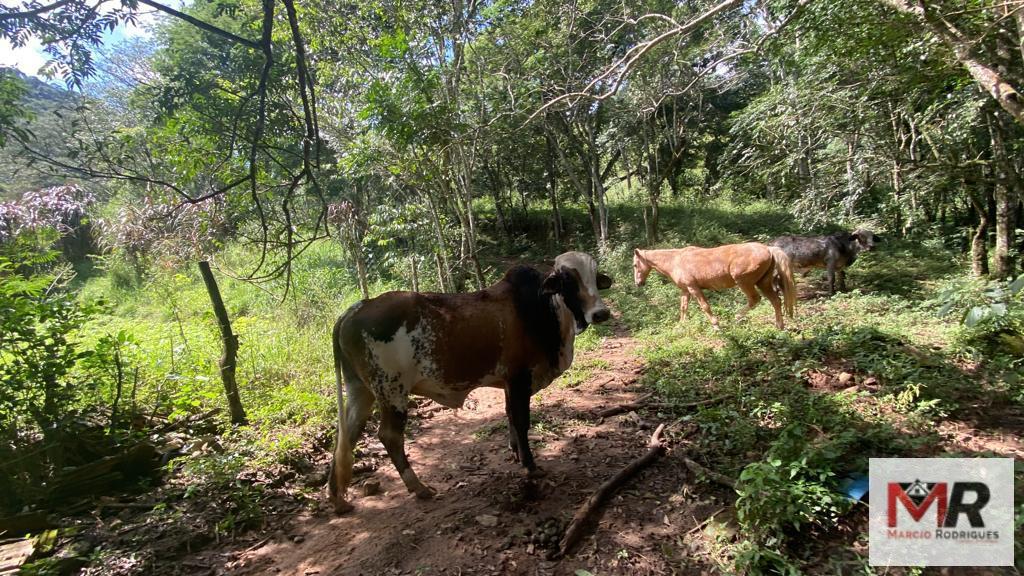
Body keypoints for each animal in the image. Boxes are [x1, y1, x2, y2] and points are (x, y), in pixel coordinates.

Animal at [331, 251, 610, 510]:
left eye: (595, 277)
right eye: (568, 280)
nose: (601, 313)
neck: (542, 308)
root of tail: (354, 310)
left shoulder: (508, 383)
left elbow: (510, 416)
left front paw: (516, 452)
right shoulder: (519, 378)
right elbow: (521, 421)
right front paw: (530, 465)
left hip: (361, 390)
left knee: (347, 435)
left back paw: (338, 499)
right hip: (392, 392)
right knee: (389, 436)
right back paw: (418, 487)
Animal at [630, 240, 798, 327]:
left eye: (635, 265)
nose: (638, 283)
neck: (676, 260)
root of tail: (768, 249)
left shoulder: (693, 288)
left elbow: (705, 306)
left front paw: (716, 324)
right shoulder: (685, 290)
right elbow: (683, 308)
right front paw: (681, 326)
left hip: (745, 282)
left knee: (755, 300)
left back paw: (737, 317)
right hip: (763, 283)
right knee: (776, 301)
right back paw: (779, 326)